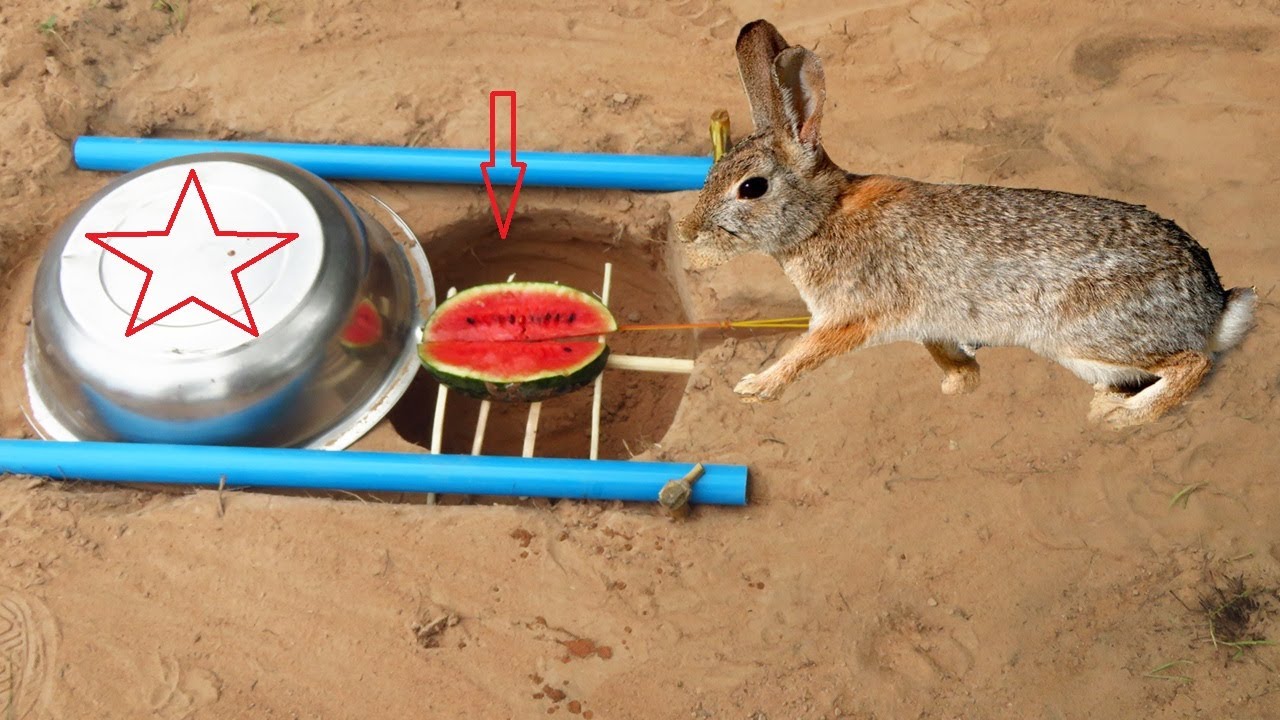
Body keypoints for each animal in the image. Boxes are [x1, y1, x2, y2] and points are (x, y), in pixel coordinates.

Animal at [677, 19, 1256, 427]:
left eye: (751, 188)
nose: (687, 235)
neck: (821, 217)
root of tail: (1212, 306)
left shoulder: (850, 317)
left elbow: (804, 354)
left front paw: (755, 387)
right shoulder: (927, 323)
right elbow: (943, 351)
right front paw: (960, 384)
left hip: (1090, 335)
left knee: (1192, 364)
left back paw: (1121, 418)